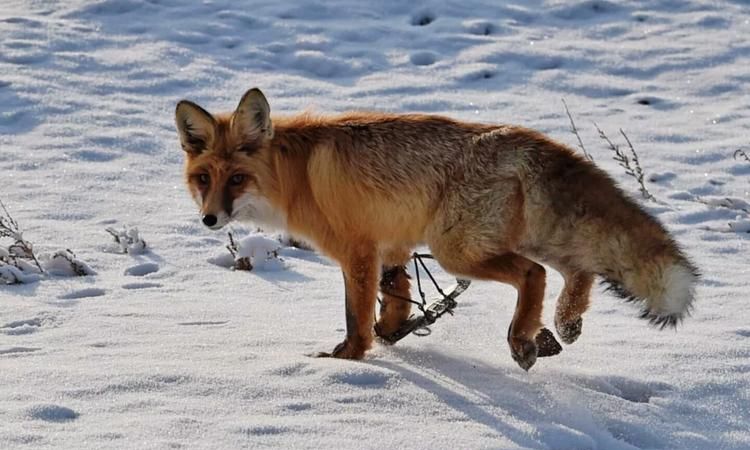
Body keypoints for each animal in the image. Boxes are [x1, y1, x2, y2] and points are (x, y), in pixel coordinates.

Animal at [175, 89, 700, 370]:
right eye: (204, 179)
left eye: (237, 180)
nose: (209, 219)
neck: (296, 174)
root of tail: (526, 137)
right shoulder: (392, 244)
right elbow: (396, 295)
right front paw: (393, 332)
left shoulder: (356, 251)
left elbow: (355, 315)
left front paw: (347, 361)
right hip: (512, 237)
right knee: (579, 269)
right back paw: (563, 324)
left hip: (456, 250)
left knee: (535, 274)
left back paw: (523, 339)